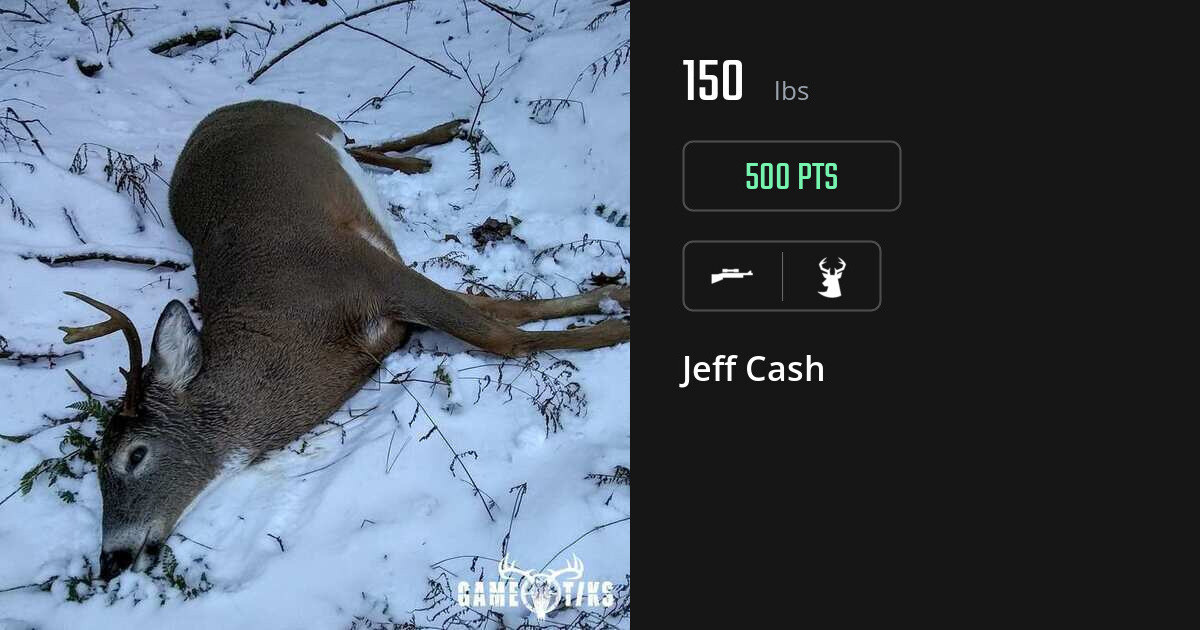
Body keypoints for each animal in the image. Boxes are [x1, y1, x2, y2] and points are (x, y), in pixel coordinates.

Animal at [56, 100, 630, 580]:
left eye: (134, 454)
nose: (110, 561)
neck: (297, 332)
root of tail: (218, 113)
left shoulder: (373, 272)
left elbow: (500, 333)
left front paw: (617, 318)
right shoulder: (395, 312)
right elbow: (505, 312)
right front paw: (614, 298)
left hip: (305, 116)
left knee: (353, 136)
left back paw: (445, 134)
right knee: (357, 145)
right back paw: (431, 153)